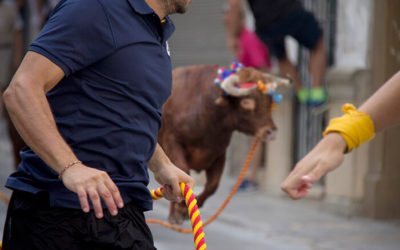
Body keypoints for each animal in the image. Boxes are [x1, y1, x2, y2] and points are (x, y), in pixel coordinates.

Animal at [158, 63, 290, 224]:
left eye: (269, 101)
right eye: (247, 102)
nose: (271, 132)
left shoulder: (219, 152)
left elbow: (213, 185)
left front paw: (189, 206)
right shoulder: (172, 142)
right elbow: (181, 173)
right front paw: (180, 208)